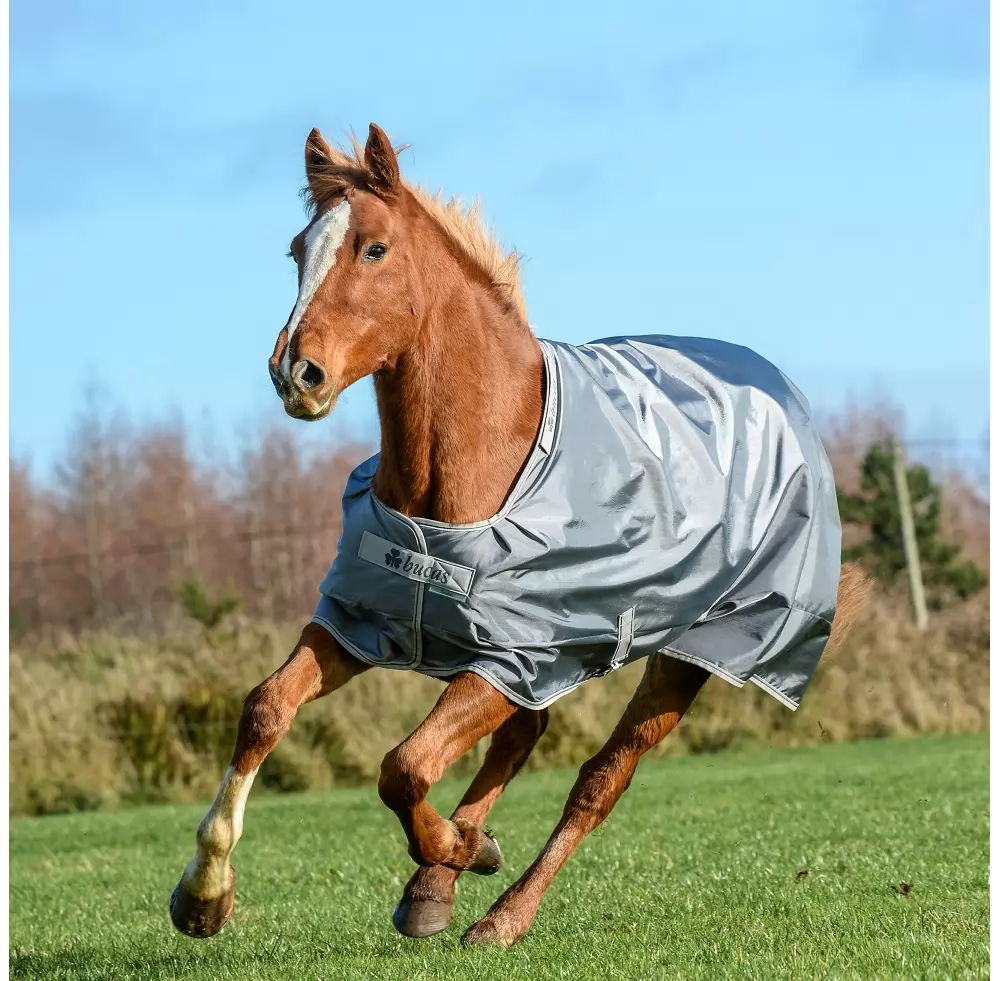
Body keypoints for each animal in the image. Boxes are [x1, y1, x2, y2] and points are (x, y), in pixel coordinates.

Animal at [169, 123, 871, 947]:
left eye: (374, 248)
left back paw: (499, 911)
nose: (295, 373)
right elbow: (266, 708)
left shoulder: (511, 655)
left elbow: (403, 766)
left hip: (684, 657)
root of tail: (779, 392)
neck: (465, 475)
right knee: (522, 735)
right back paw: (435, 886)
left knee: (599, 780)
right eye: (295, 249)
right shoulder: (370, 624)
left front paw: (462, 847)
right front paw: (203, 896)